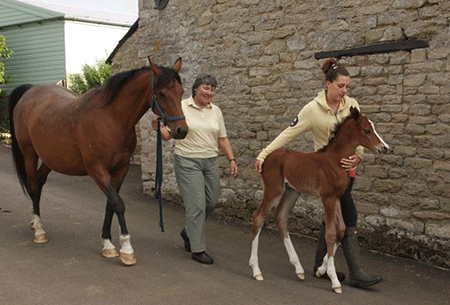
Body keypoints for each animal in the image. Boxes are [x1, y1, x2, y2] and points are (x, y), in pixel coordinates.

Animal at [8, 58, 188, 264]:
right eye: (162, 93)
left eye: (181, 92)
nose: (181, 130)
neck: (111, 119)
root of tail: (30, 92)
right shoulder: (98, 171)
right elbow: (118, 203)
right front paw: (126, 249)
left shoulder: (120, 170)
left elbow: (111, 204)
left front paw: (107, 243)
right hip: (29, 154)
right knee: (33, 186)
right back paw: (39, 230)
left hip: (50, 158)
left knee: (39, 182)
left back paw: (34, 220)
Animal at [248, 107, 388, 292]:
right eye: (367, 130)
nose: (385, 148)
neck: (335, 160)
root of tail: (265, 157)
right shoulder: (327, 197)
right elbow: (330, 233)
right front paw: (334, 280)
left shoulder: (337, 197)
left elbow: (342, 230)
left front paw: (322, 270)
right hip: (274, 190)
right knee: (258, 217)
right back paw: (256, 270)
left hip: (292, 191)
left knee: (280, 217)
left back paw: (298, 268)